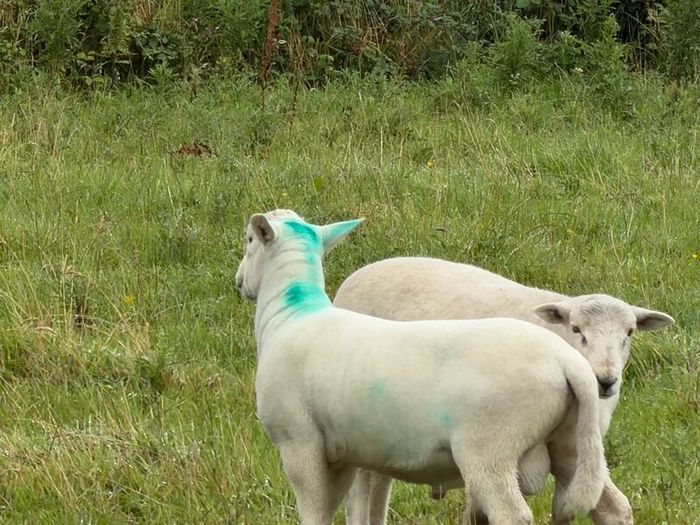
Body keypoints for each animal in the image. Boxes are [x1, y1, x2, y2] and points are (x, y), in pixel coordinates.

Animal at [235, 210, 607, 525]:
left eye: (249, 240)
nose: (239, 282)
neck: (290, 315)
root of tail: (567, 362)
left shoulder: (299, 441)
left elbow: (313, 511)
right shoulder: (343, 452)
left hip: (491, 449)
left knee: (512, 515)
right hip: (573, 442)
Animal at [334, 256, 674, 525]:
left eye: (629, 333)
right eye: (577, 329)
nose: (605, 380)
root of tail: (362, 272)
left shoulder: (572, 450)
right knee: (364, 487)